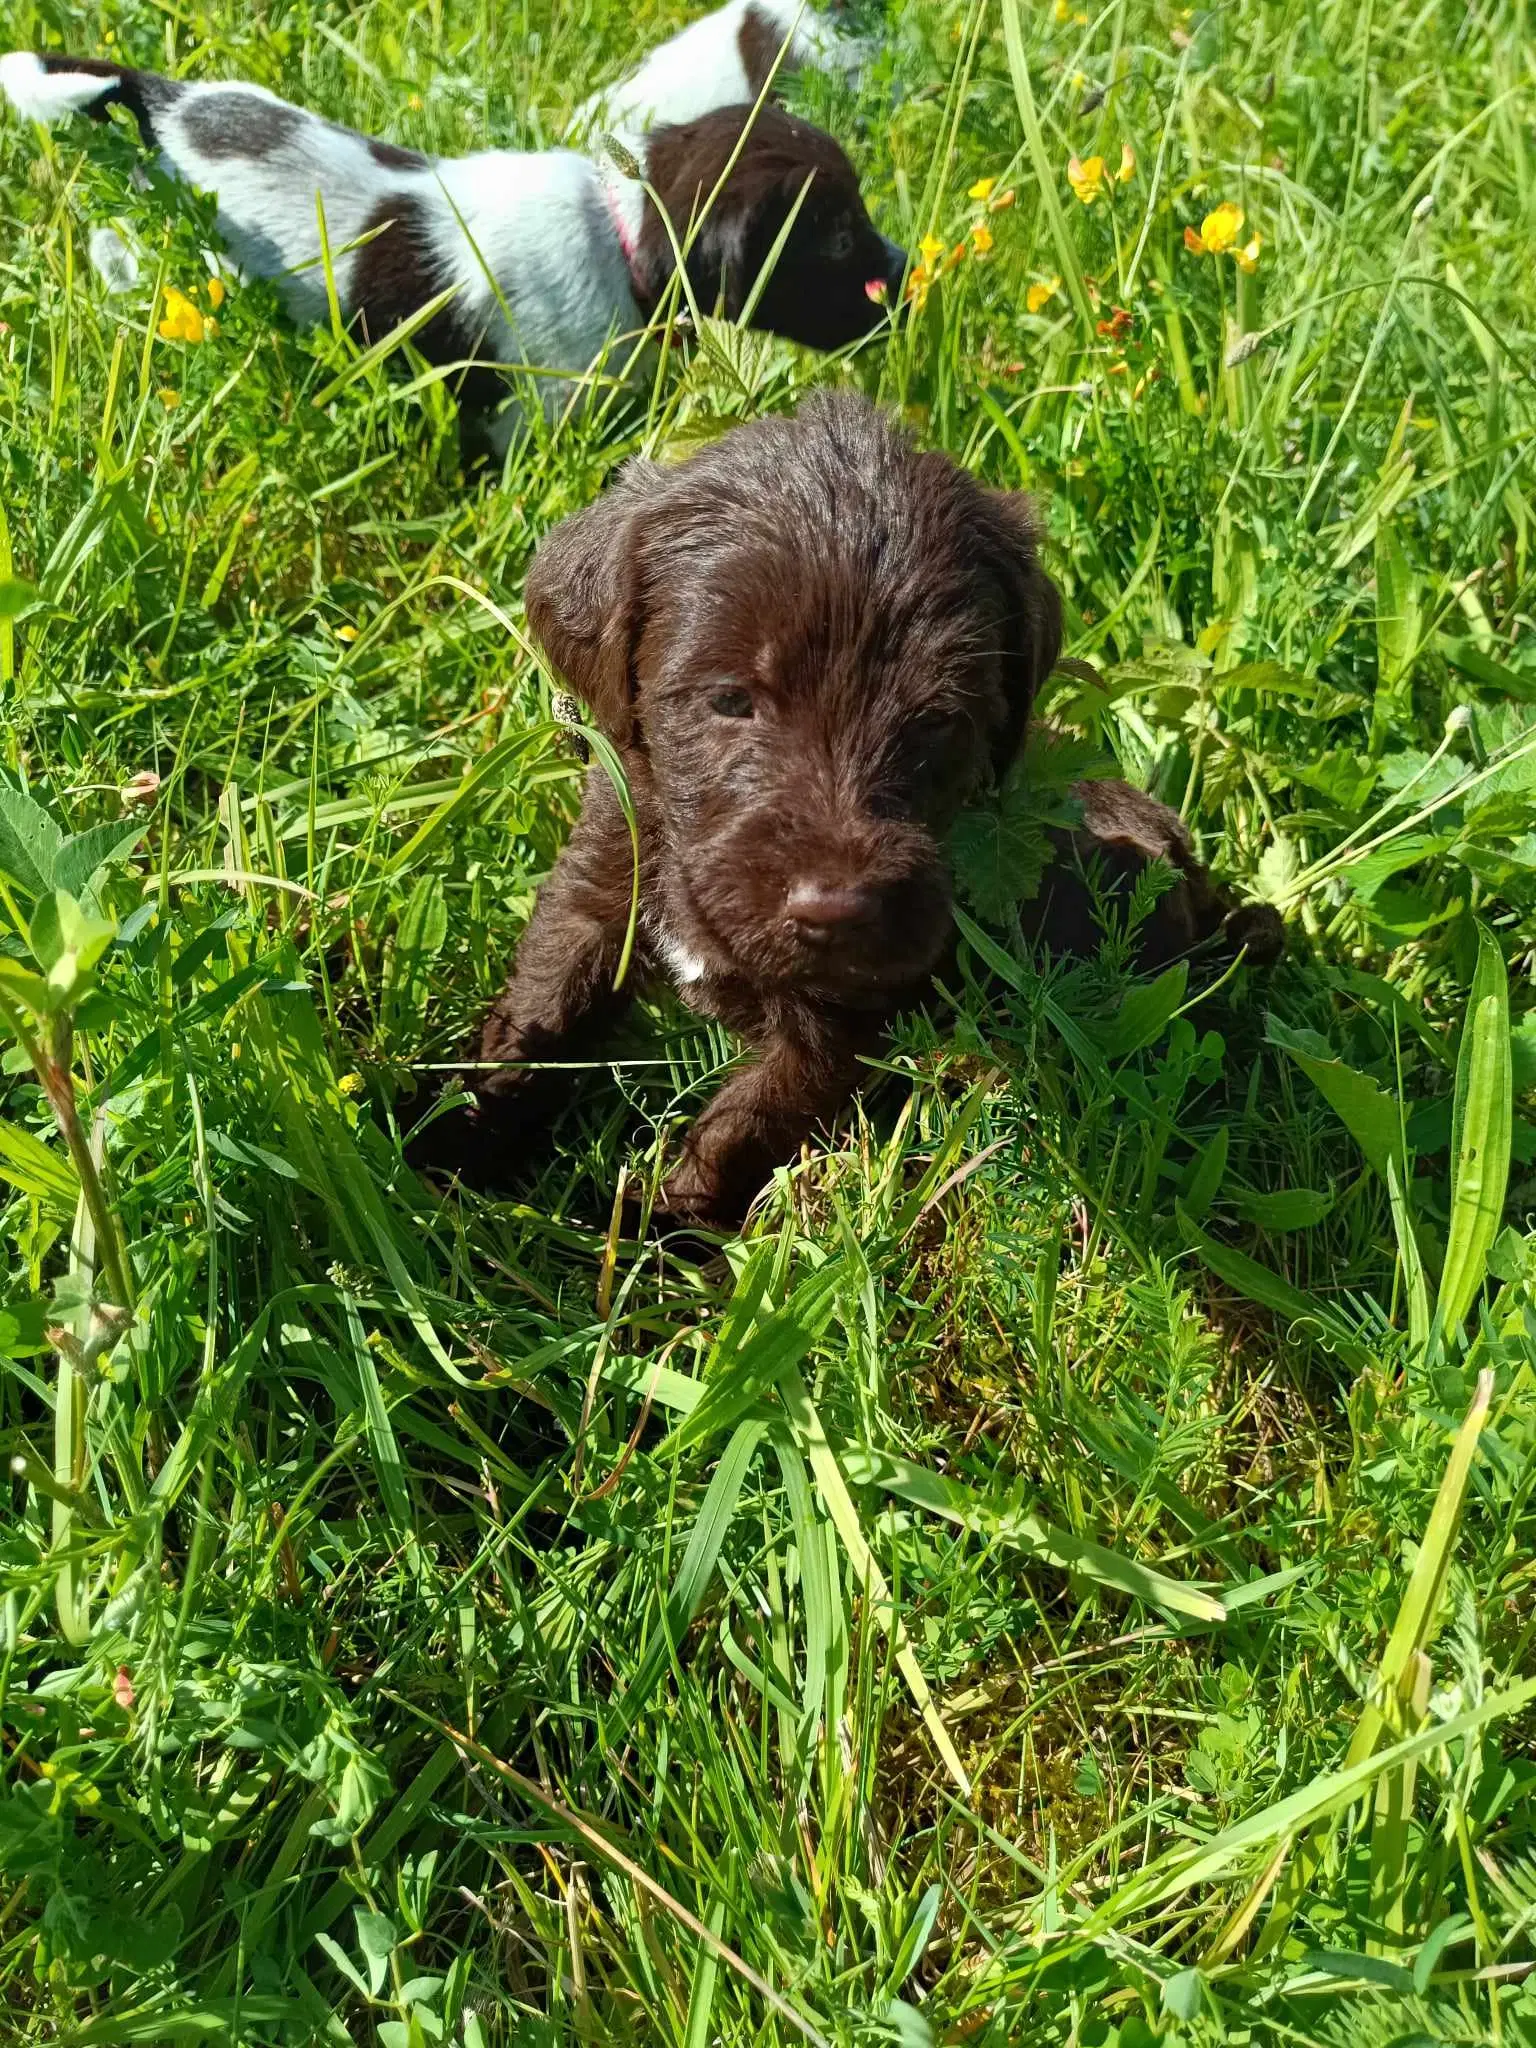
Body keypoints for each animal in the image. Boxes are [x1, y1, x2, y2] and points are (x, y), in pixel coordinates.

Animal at [428, 393, 1277, 1220]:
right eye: (729, 699)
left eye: (936, 720)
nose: (834, 912)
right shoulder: (598, 887)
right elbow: (537, 1015)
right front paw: (449, 1147)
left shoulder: (841, 1026)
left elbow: (740, 1130)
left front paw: (663, 1235)